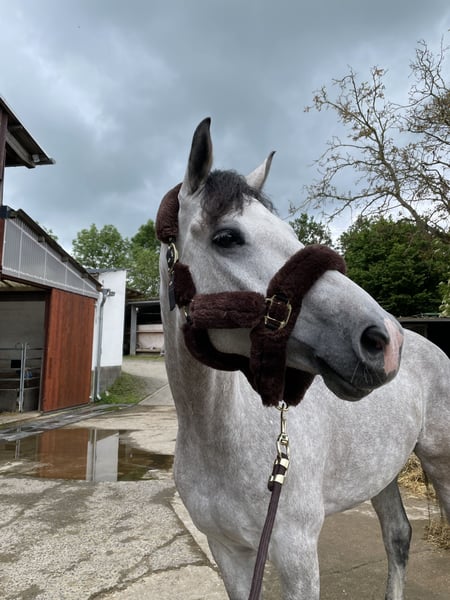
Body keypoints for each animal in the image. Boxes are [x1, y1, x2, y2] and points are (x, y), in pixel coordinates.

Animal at [156, 118, 450, 600]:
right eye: (227, 237)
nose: (384, 339)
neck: (219, 438)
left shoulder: (296, 555)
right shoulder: (229, 553)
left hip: (441, 464)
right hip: (384, 472)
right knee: (398, 536)